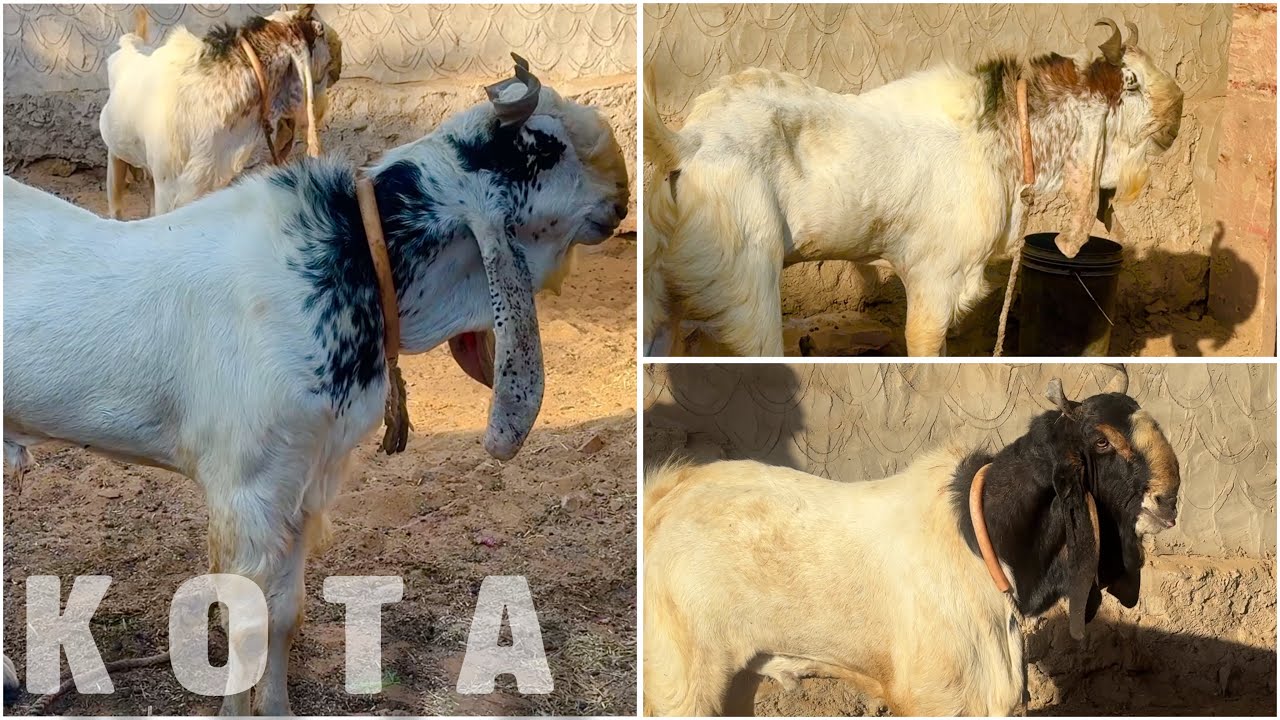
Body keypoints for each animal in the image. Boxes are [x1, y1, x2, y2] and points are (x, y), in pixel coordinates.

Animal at [4, 59, 628, 715]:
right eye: (546, 145)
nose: (622, 197)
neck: (354, 260)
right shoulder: (247, 491)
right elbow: (247, 623)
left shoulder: (306, 480)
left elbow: (286, 614)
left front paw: (277, 705)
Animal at [643, 371, 1181, 716]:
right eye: (1103, 442)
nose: (1169, 499)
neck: (979, 536)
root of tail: (668, 496)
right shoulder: (940, 696)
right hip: (681, 684)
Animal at [644, 19, 1184, 356]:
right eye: (1131, 81)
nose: (1178, 112)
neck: (997, 133)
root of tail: (691, 142)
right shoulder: (935, 276)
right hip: (749, 285)